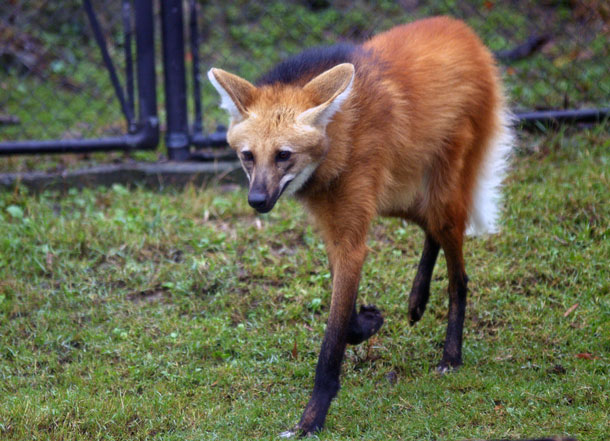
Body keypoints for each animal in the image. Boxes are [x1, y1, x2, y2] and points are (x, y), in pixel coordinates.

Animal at [208, 15, 512, 434]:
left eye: (284, 155)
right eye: (248, 156)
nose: (257, 201)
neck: (337, 140)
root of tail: (465, 33)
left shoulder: (352, 235)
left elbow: (332, 341)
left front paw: (310, 421)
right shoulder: (337, 232)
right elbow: (346, 312)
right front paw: (369, 321)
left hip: (439, 192)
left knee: (458, 273)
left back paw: (451, 355)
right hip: (398, 196)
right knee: (428, 226)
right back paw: (417, 302)